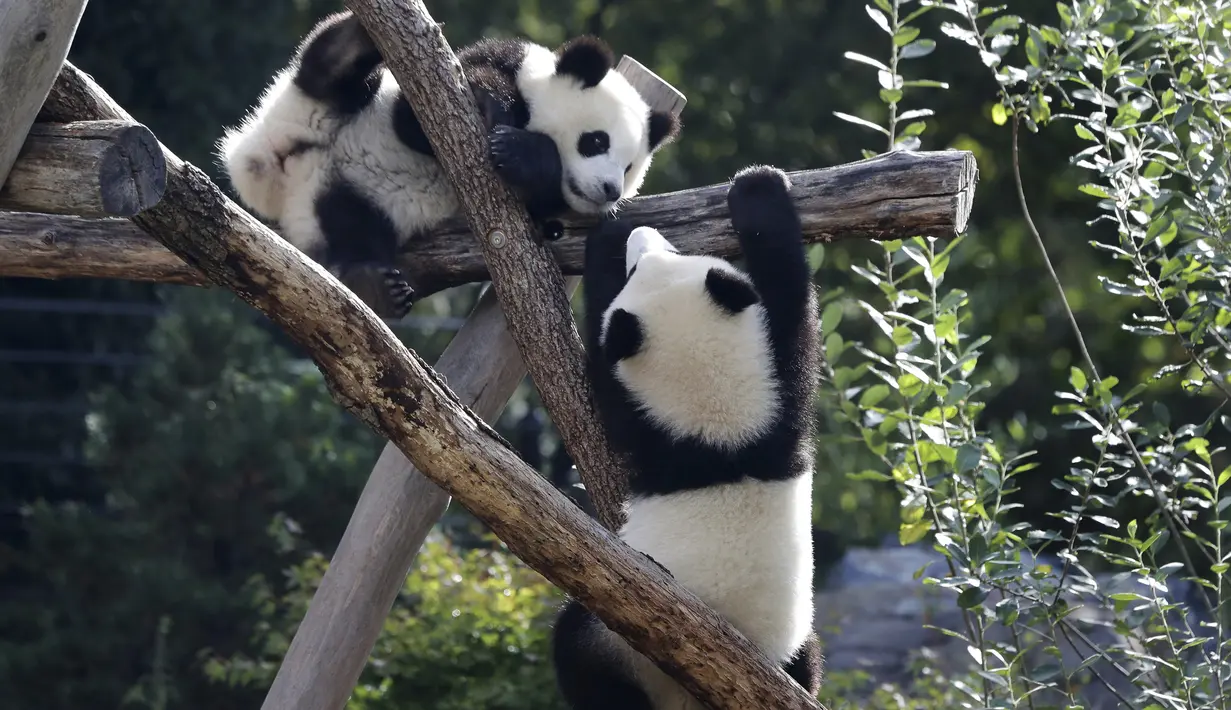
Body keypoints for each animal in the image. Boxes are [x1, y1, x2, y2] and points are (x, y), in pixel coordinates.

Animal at [217, 11, 681, 317]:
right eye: (596, 141)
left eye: (629, 168)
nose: (610, 190)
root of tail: (277, 169)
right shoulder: (488, 64)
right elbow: (414, 121)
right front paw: (494, 108)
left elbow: (541, 207)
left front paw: (523, 156)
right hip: (313, 108)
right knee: (329, 74)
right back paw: (354, 37)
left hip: (344, 201)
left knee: (353, 231)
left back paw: (374, 286)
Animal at [551, 164, 824, 709]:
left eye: (640, 268)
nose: (641, 235)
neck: (718, 424)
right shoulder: (783, 392)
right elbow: (791, 296)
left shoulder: (643, 423)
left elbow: (601, 379)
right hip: (791, 643)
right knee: (808, 658)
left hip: (620, 637)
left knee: (574, 645)